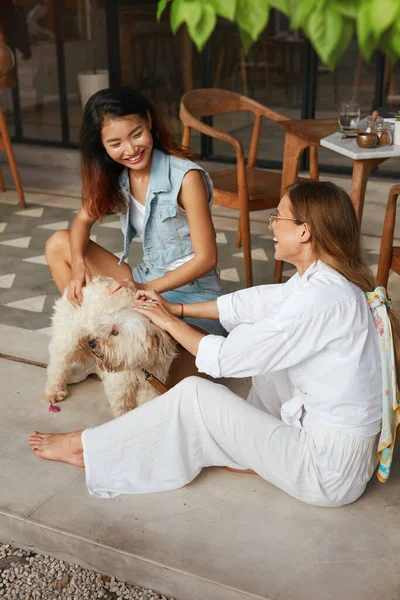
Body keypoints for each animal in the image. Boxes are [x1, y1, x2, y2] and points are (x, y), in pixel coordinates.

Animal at [43, 278, 177, 414]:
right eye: (105, 328)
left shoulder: (151, 386)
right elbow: (122, 408)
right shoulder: (119, 386)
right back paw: (54, 391)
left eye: (115, 332)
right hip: (66, 340)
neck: (138, 364)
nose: (92, 343)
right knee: (58, 365)